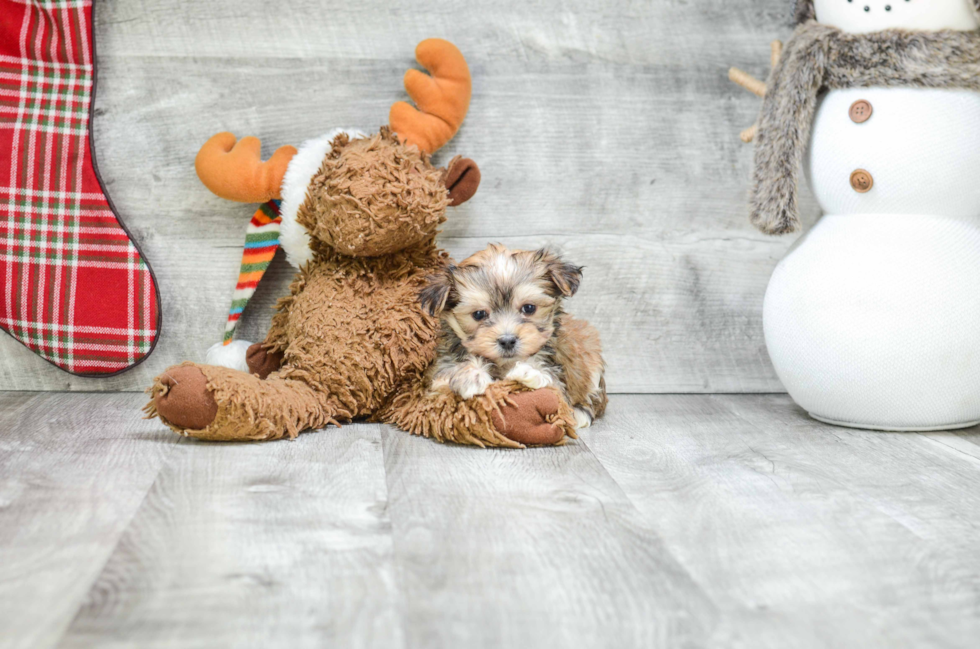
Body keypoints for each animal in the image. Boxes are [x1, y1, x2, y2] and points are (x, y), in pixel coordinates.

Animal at [420, 242, 604, 426]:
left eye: (529, 308)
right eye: (479, 314)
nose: (507, 341)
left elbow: (553, 386)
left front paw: (530, 371)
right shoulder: (436, 377)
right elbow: (444, 377)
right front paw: (471, 375)